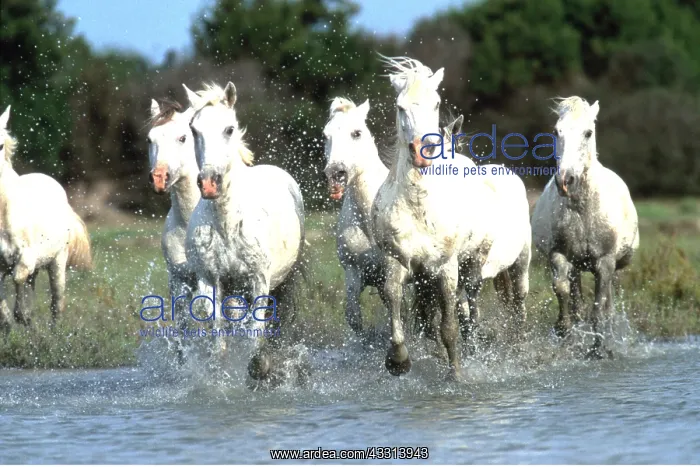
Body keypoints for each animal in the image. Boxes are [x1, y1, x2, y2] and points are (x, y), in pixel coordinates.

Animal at [0, 105, 92, 330]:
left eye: (0, 145)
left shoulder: (26, 258)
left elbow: (18, 278)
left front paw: (20, 315)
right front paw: (9, 321)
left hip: (58, 262)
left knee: (56, 303)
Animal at [182, 82, 306, 384]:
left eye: (229, 129)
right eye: (194, 130)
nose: (209, 183)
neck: (227, 224)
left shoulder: (259, 279)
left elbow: (257, 331)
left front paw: (260, 369)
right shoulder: (211, 281)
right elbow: (219, 336)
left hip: (287, 281)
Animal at [371, 57, 531, 379]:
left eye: (435, 103)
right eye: (400, 106)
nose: (423, 153)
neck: (420, 206)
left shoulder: (446, 268)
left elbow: (449, 327)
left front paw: (455, 373)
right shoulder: (398, 261)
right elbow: (395, 302)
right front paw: (398, 360)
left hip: (498, 263)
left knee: (496, 303)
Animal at [531, 96, 639, 358]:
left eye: (588, 133)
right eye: (556, 131)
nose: (565, 181)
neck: (583, 211)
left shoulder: (605, 262)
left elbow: (599, 307)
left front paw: (599, 350)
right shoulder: (559, 255)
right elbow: (562, 291)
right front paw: (566, 334)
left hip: (613, 266)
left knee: (609, 300)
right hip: (578, 266)